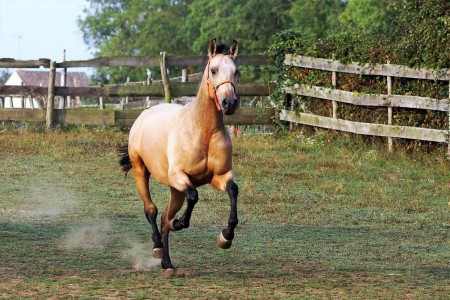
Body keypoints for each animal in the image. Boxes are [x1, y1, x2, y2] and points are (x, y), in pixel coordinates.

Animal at [118, 38, 241, 276]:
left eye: (236, 71)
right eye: (213, 70)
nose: (229, 103)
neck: (204, 131)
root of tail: (145, 114)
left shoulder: (220, 176)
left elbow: (233, 190)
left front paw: (225, 238)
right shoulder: (180, 177)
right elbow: (193, 196)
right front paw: (180, 223)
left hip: (175, 190)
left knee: (165, 216)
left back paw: (168, 264)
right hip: (142, 171)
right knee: (152, 210)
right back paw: (158, 248)